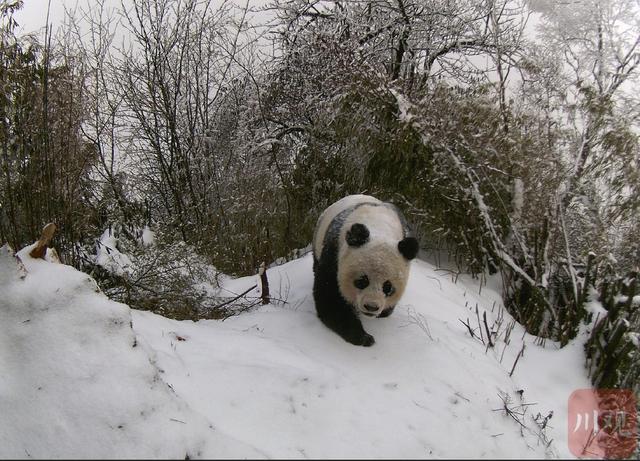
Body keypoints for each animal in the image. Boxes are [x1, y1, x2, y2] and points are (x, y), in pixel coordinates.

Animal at [312, 193, 420, 344]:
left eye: (388, 287)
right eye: (362, 281)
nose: (371, 307)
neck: (379, 227)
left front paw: (384, 312)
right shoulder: (334, 251)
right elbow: (331, 297)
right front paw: (363, 337)